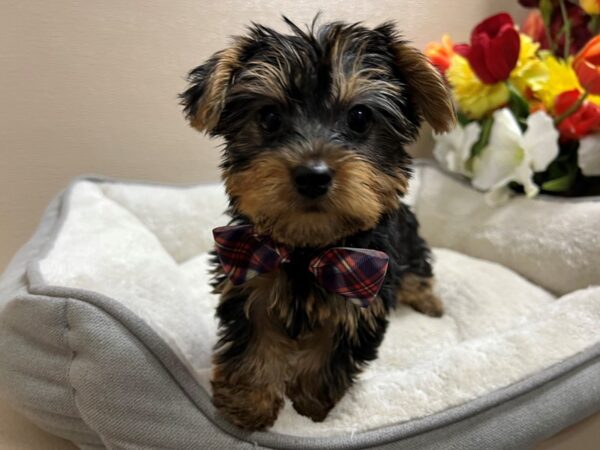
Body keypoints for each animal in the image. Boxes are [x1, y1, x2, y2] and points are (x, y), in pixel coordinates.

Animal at [180, 17, 452, 430]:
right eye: (269, 118)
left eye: (359, 118)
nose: (313, 175)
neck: (307, 250)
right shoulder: (250, 280)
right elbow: (254, 343)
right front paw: (249, 405)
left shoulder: (360, 294)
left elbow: (328, 355)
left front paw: (311, 407)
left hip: (409, 239)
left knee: (418, 269)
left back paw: (429, 301)